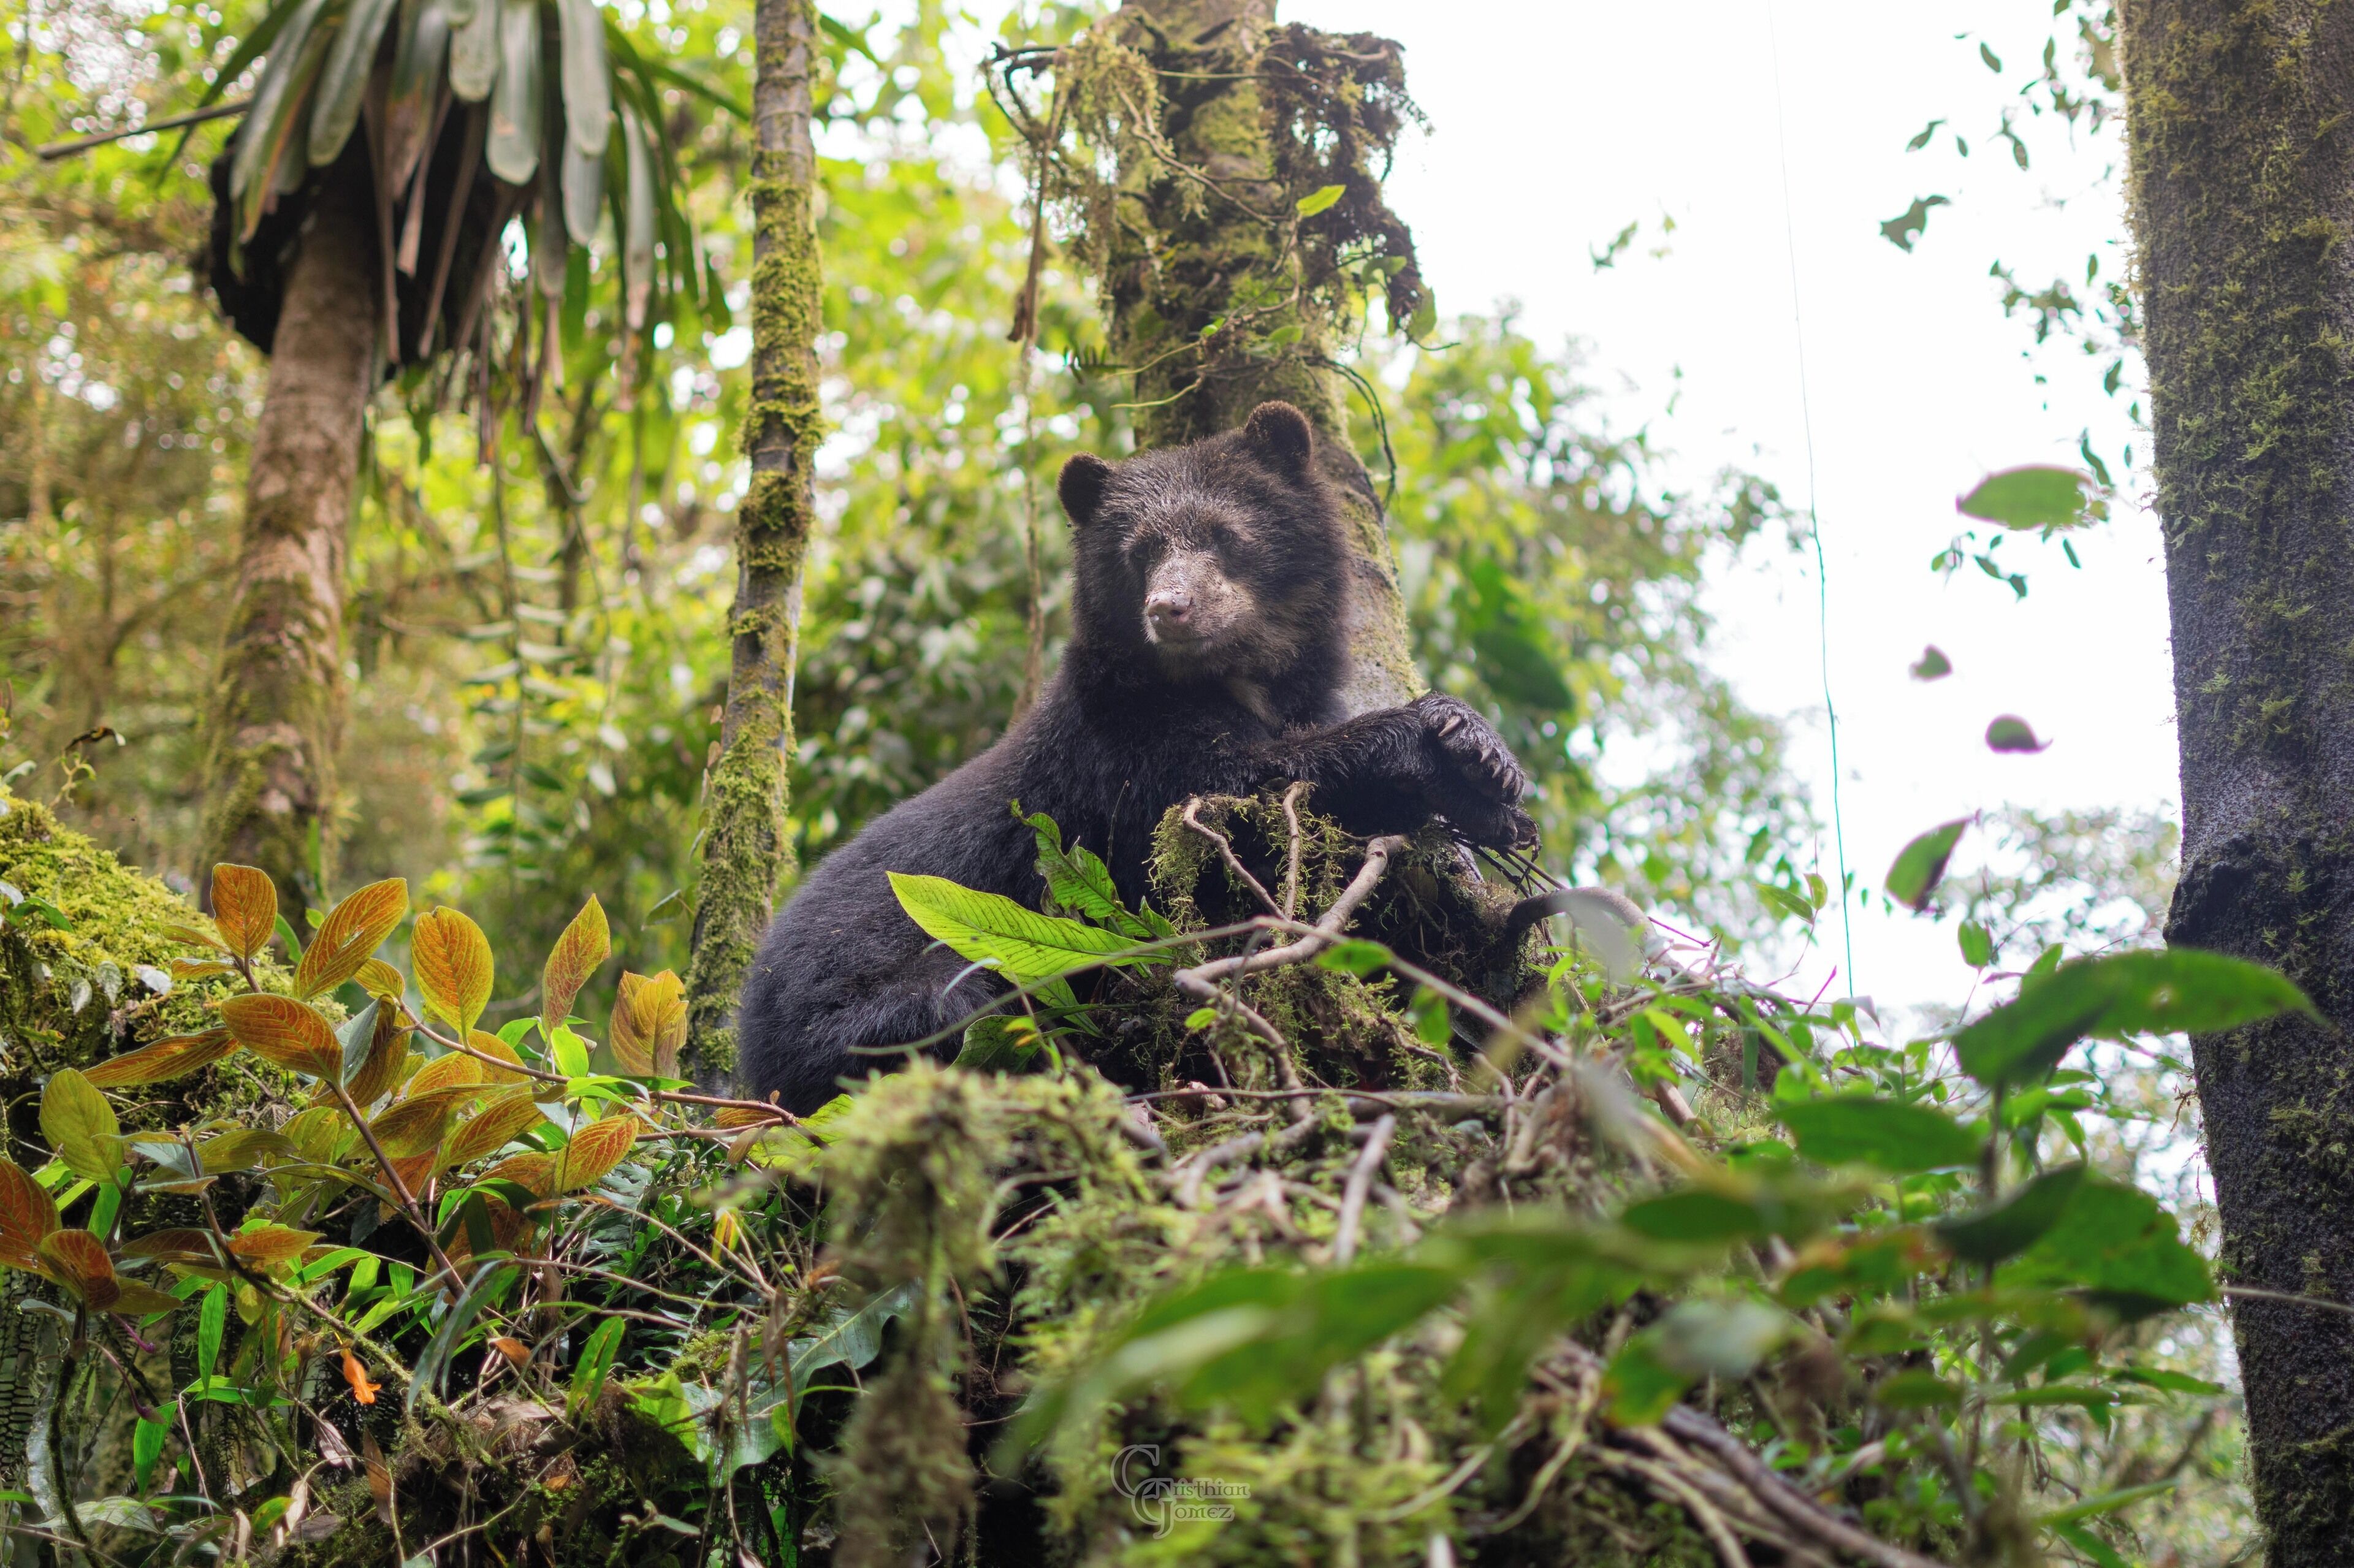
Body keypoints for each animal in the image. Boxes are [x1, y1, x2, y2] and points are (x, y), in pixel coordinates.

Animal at [735, 401, 1538, 1115]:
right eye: (1141, 551)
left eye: (1224, 535)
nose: (1170, 609)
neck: (1228, 675)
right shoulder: (1121, 747)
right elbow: (1232, 797)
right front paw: (1464, 779)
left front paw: (1482, 753)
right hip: (859, 1004)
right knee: (959, 1003)